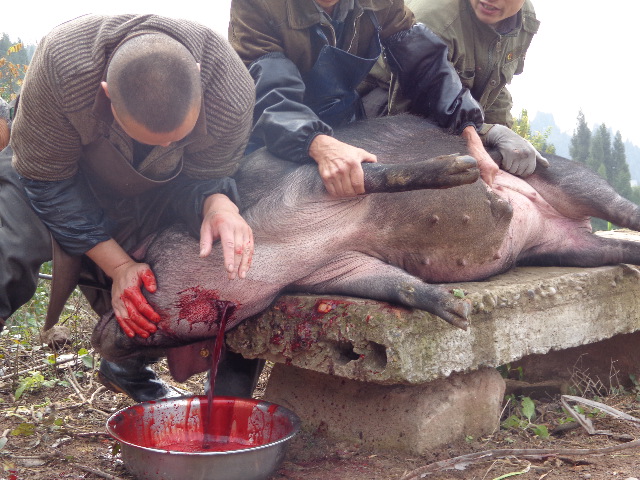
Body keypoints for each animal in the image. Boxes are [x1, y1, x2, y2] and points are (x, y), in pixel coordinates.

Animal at [91, 113, 640, 376]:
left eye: (141, 264)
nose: (97, 333)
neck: (276, 254)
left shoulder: (317, 185)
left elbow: (383, 174)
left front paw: (462, 170)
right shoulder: (331, 270)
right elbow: (394, 284)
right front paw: (456, 311)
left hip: (570, 176)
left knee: (616, 206)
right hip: (563, 248)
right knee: (613, 251)